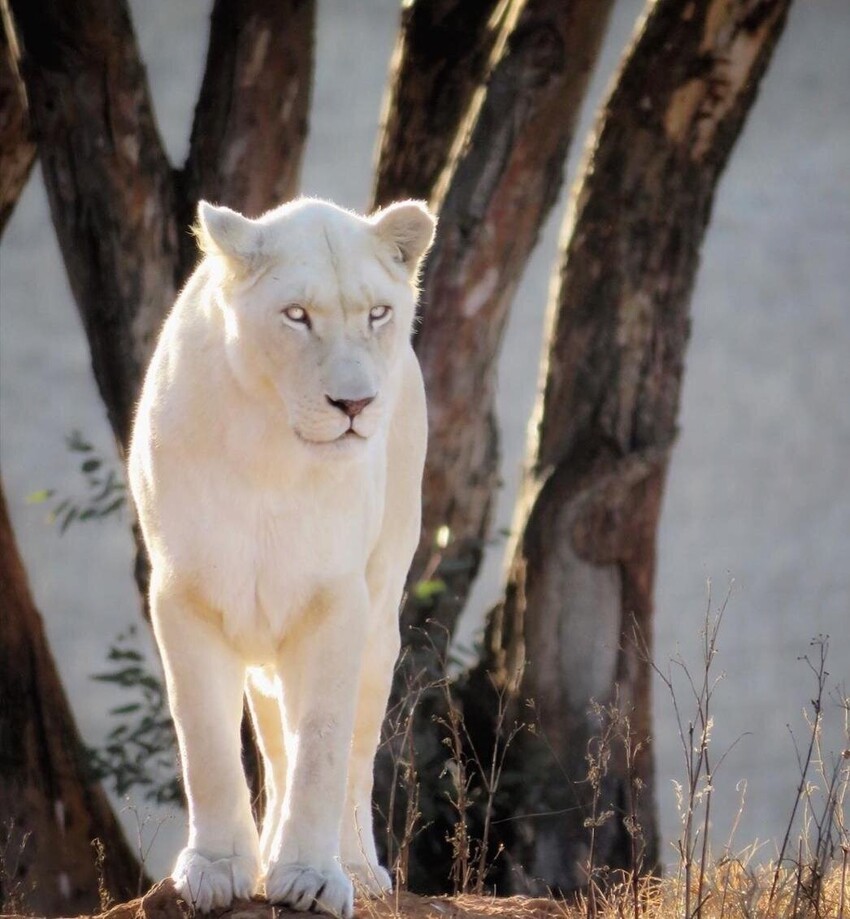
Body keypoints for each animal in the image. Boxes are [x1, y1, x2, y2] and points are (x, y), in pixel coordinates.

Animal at [129, 198, 434, 916]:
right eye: (296, 315)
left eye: (377, 313)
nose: (355, 404)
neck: (271, 450)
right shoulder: (182, 594)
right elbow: (207, 743)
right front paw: (217, 870)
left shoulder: (337, 600)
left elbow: (322, 742)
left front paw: (312, 877)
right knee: (271, 740)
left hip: (382, 615)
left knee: (354, 748)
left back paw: (360, 867)